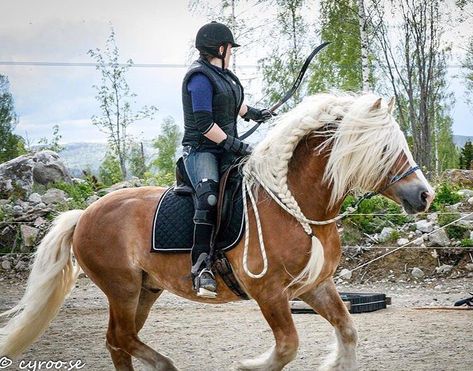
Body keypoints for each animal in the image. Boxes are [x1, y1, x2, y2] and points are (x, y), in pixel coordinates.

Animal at [0, 93, 434, 371]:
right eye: (384, 149)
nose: (425, 195)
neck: (294, 203)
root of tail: (85, 214)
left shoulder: (315, 286)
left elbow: (347, 331)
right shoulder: (269, 292)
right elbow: (286, 348)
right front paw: (248, 365)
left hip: (144, 290)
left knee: (117, 341)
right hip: (121, 289)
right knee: (121, 338)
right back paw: (166, 365)